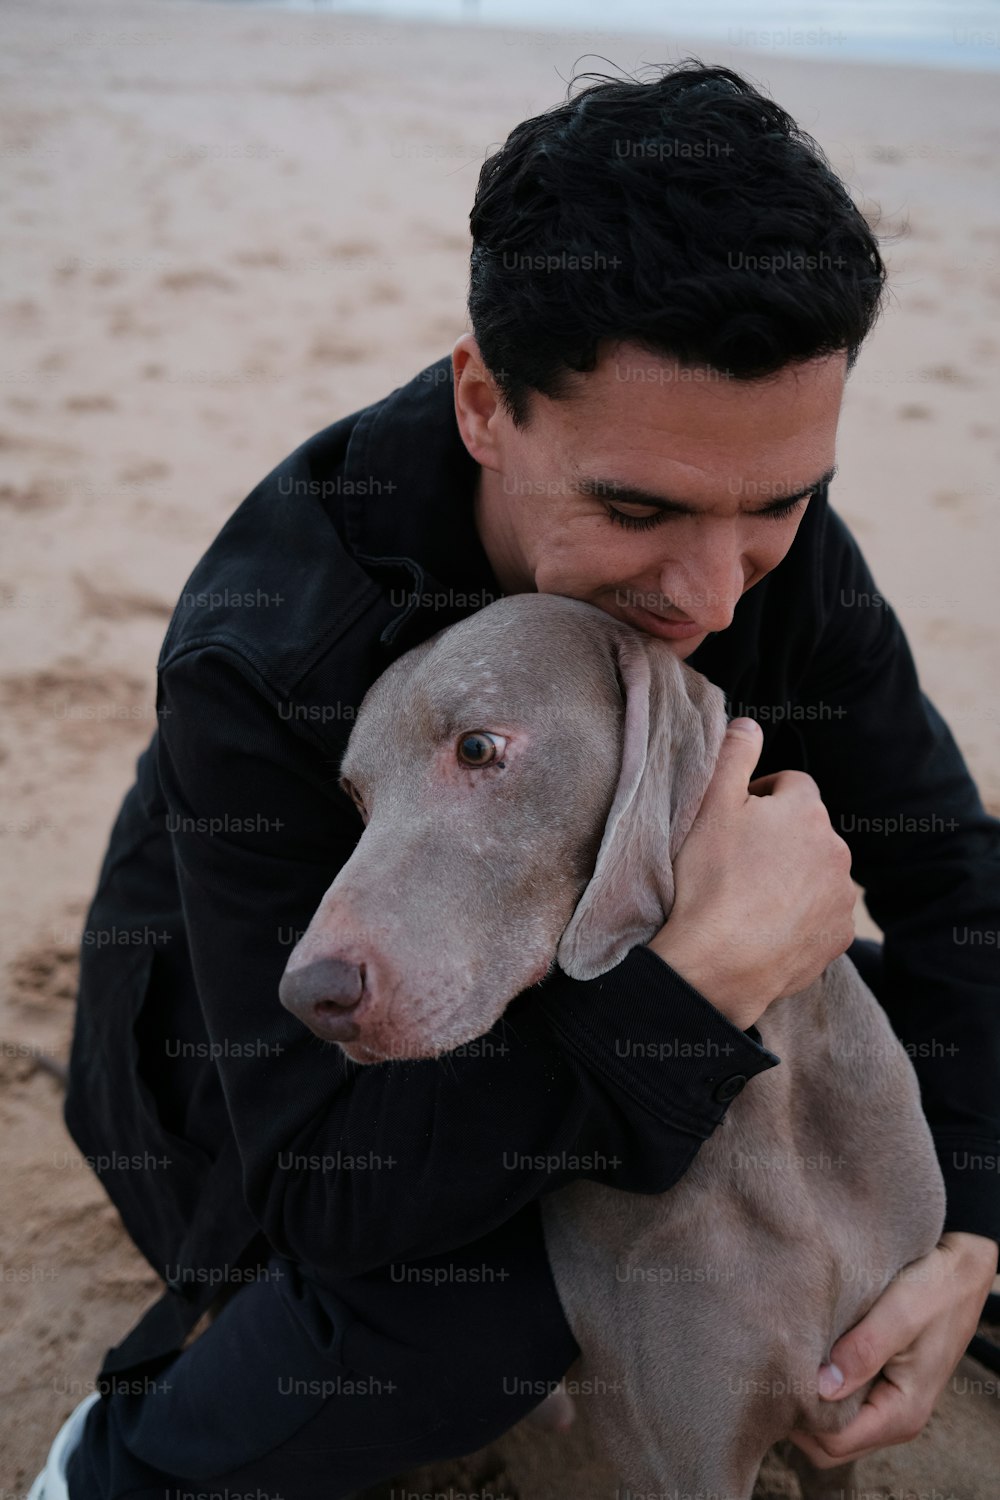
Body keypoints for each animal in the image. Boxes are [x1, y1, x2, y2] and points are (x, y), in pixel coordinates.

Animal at [280, 591, 947, 1494]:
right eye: (357, 795)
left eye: (477, 747)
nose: (307, 997)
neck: (759, 1116)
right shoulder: (686, 1457)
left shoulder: (847, 1407)